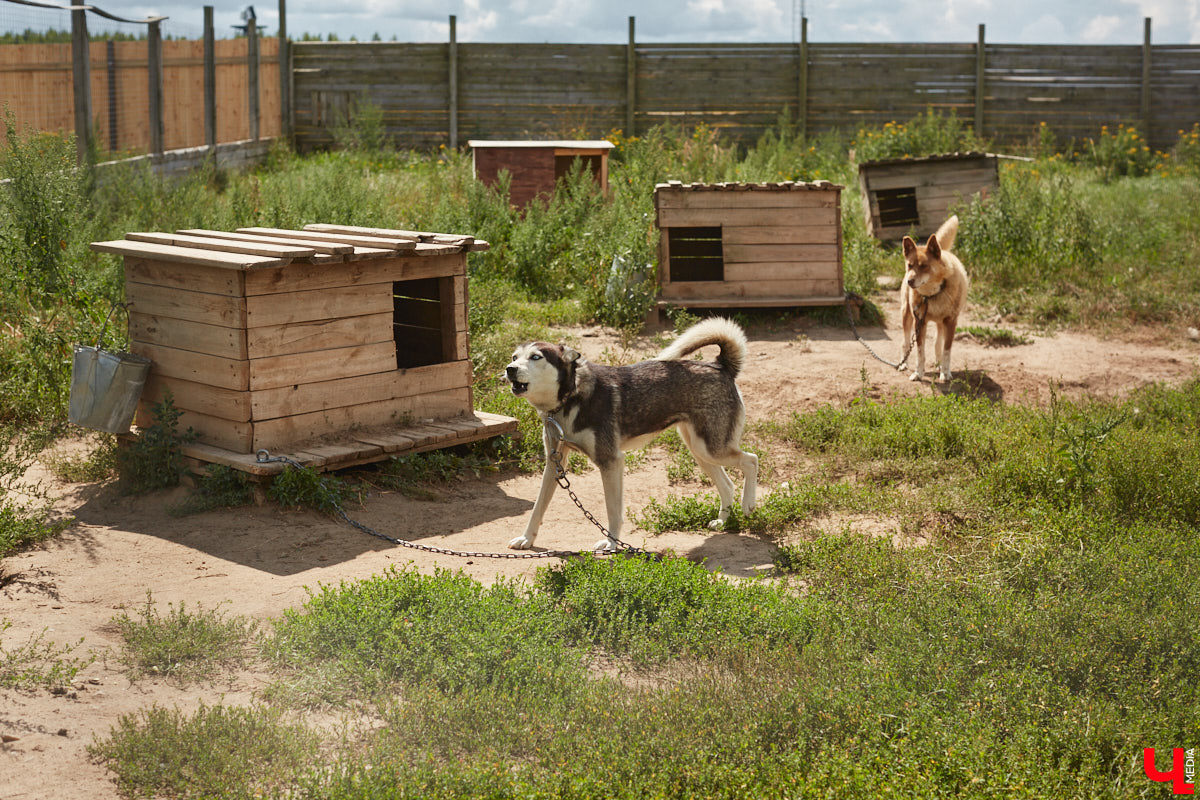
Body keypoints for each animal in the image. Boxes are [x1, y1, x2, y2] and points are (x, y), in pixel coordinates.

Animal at [501, 316, 753, 554]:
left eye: (535, 357)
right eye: (514, 357)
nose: (509, 369)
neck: (570, 396)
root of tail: (719, 365)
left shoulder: (610, 462)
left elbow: (613, 511)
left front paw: (612, 544)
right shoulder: (554, 463)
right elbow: (537, 508)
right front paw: (527, 539)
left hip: (712, 449)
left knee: (751, 460)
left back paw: (748, 504)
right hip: (701, 451)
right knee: (728, 485)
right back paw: (723, 521)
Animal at [902, 217, 964, 383]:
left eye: (924, 266)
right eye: (910, 265)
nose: (909, 281)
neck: (932, 295)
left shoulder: (950, 322)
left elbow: (946, 351)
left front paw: (946, 373)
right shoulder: (919, 322)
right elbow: (920, 352)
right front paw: (918, 374)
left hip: (941, 325)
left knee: (937, 345)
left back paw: (939, 366)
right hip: (906, 316)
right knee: (905, 343)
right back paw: (903, 364)